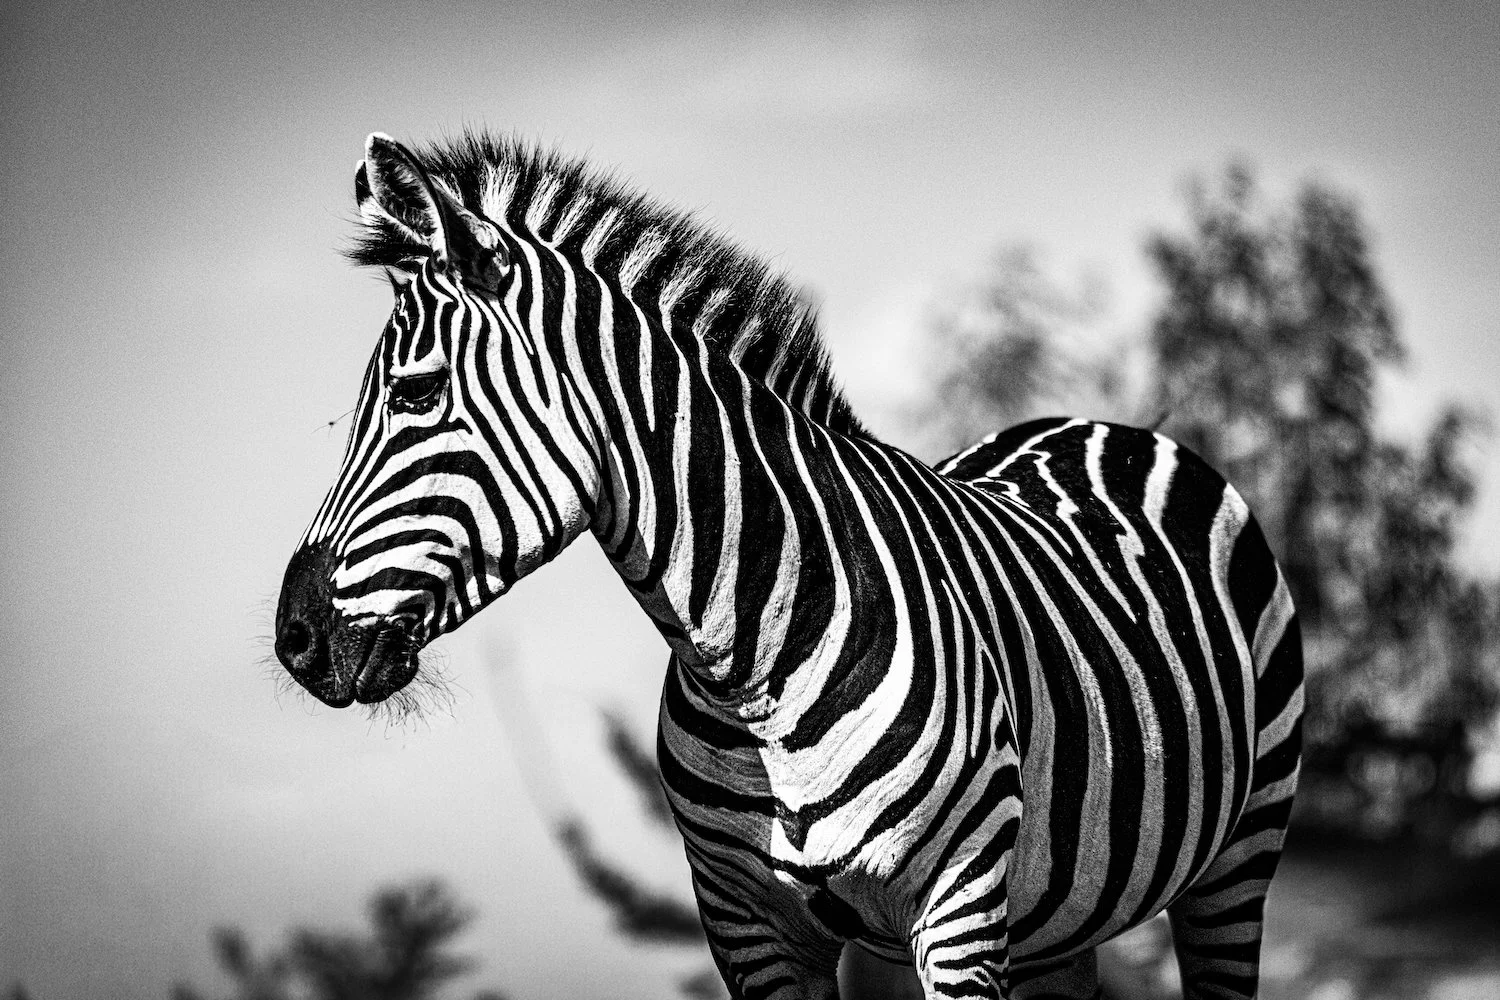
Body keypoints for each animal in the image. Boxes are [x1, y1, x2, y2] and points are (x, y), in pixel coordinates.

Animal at [275, 131, 1303, 999]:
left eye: (415, 394)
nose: (296, 638)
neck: (754, 659)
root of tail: (1097, 425)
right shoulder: (746, 922)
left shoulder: (961, 901)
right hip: (1062, 922)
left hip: (1239, 858)